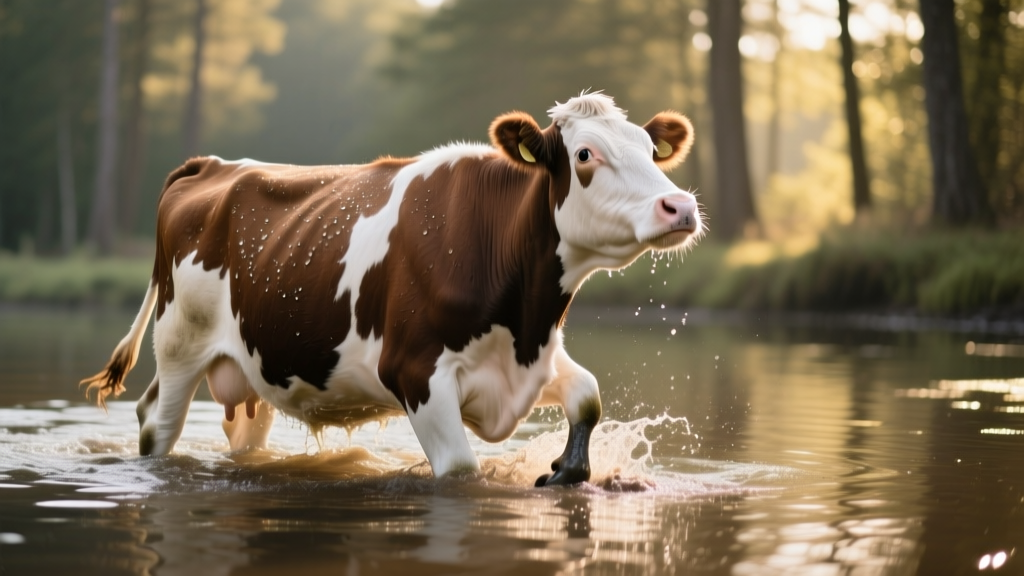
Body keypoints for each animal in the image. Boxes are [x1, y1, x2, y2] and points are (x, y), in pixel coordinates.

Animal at [81, 93, 702, 486]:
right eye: (585, 154)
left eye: (651, 151)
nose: (680, 206)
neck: (528, 315)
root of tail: (213, 164)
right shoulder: (417, 372)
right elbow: (462, 473)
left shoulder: (530, 358)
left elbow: (588, 395)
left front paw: (564, 469)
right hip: (180, 345)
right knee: (156, 422)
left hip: (251, 368)